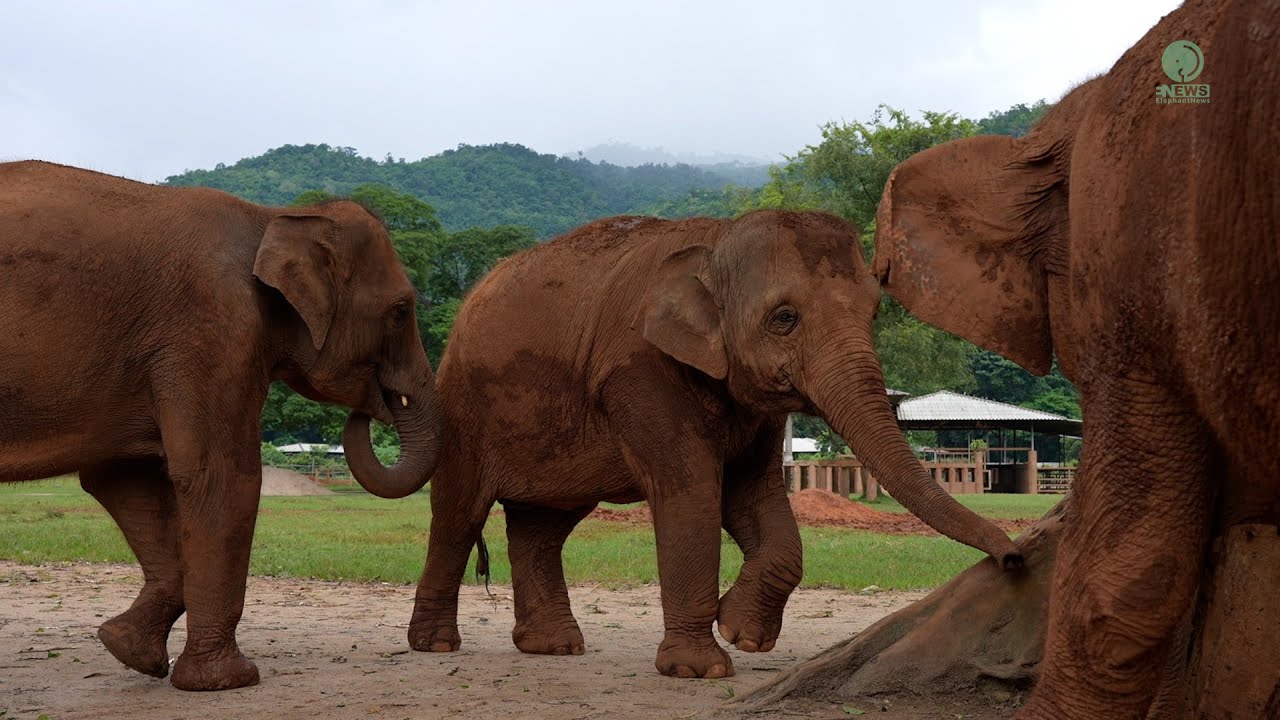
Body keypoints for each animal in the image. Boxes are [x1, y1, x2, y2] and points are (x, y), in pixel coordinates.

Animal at [0, 161, 444, 690]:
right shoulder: (214, 327)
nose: (373, 407)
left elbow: (124, 480)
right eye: (401, 311)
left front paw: (128, 650)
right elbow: (222, 477)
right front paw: (229, 681)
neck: (272, 217)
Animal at [408, 209, 1021, 679]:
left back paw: (554, 647)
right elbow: (692, 494)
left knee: (545, 526)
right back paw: (435, 645)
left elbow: (755, 498)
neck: (717, 242)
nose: (1013, 557)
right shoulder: (642, 370)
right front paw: (699, 670)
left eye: (874, 312)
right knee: (459, 514)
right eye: (785, 318)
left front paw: (743, 633)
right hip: (462, 405)